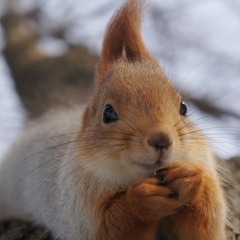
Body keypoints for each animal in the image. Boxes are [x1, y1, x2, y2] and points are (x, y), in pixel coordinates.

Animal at [0, 0, 227, 240]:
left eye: (183, 108)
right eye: (107, 113)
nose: (162, 140)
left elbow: (207, 225)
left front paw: (190, 178)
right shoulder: (75, 207)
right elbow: (109, 227)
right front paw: (141, 199)